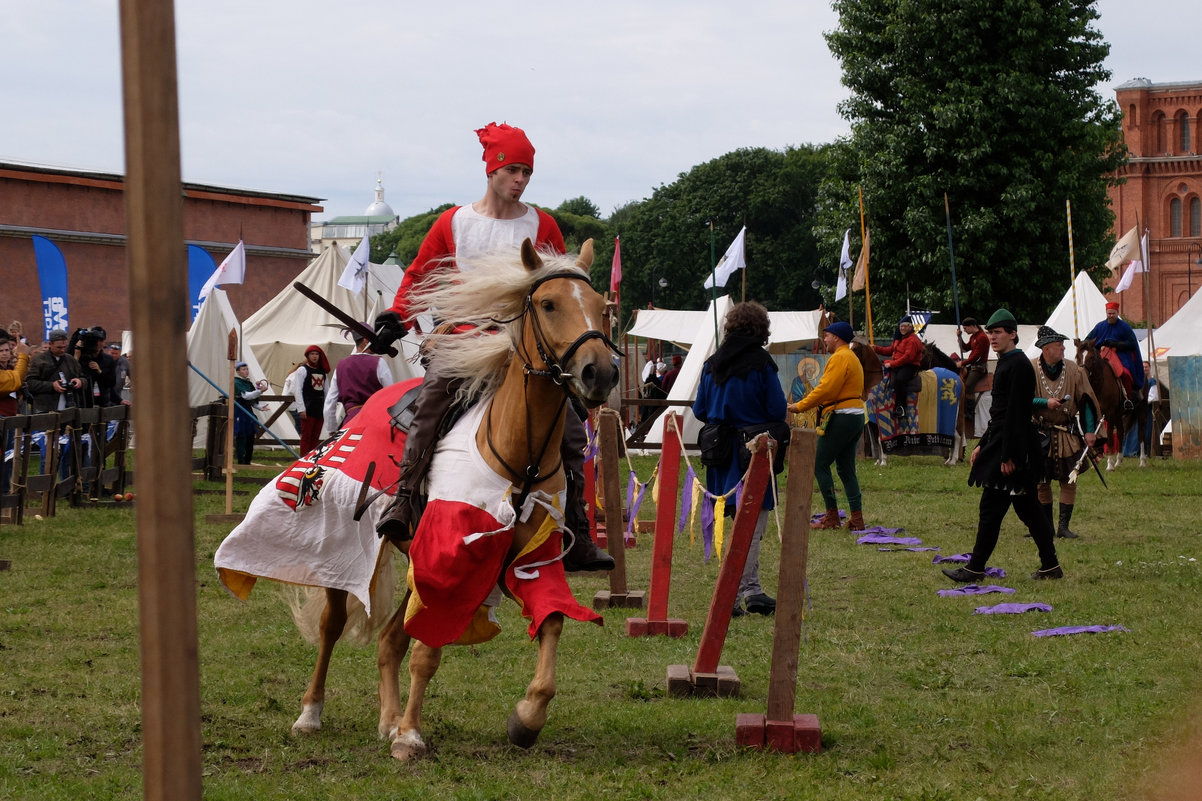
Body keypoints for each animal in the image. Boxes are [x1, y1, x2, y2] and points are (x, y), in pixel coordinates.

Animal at [218, 235, 620, 755]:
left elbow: (551, 619)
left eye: (602, 308)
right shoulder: (445, 558)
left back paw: (388, 719)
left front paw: (527, 718)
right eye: (549, 304)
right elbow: (427, 652)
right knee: (332, 626)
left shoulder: (534, 553)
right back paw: (312, 712)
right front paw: (411, 735)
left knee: (390, 639)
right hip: (342, 550)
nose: (599, 374)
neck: (518, 452)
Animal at [1076, 336, 1149, 469]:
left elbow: (1109, 436)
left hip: (1141, 408)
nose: (1082, 375)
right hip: (1118, 414)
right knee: (1120, 432)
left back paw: (1142, 461)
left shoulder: (1109, 413)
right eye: (1077, 356)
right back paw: (1119, 461)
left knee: (1141, 433)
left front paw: (1109, 464)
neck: (1099, 385)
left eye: (1092, 357)